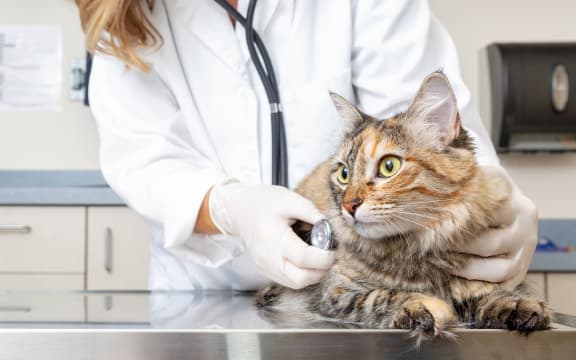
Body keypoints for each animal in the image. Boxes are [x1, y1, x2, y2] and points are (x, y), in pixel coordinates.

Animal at [258, 71, 552, 344]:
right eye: (343, 174)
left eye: (389, 166)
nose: (349, 205)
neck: (416, 248)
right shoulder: (336, 291)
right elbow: (382, 295)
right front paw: (422, 305)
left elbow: (487, 291)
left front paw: (514, 302)